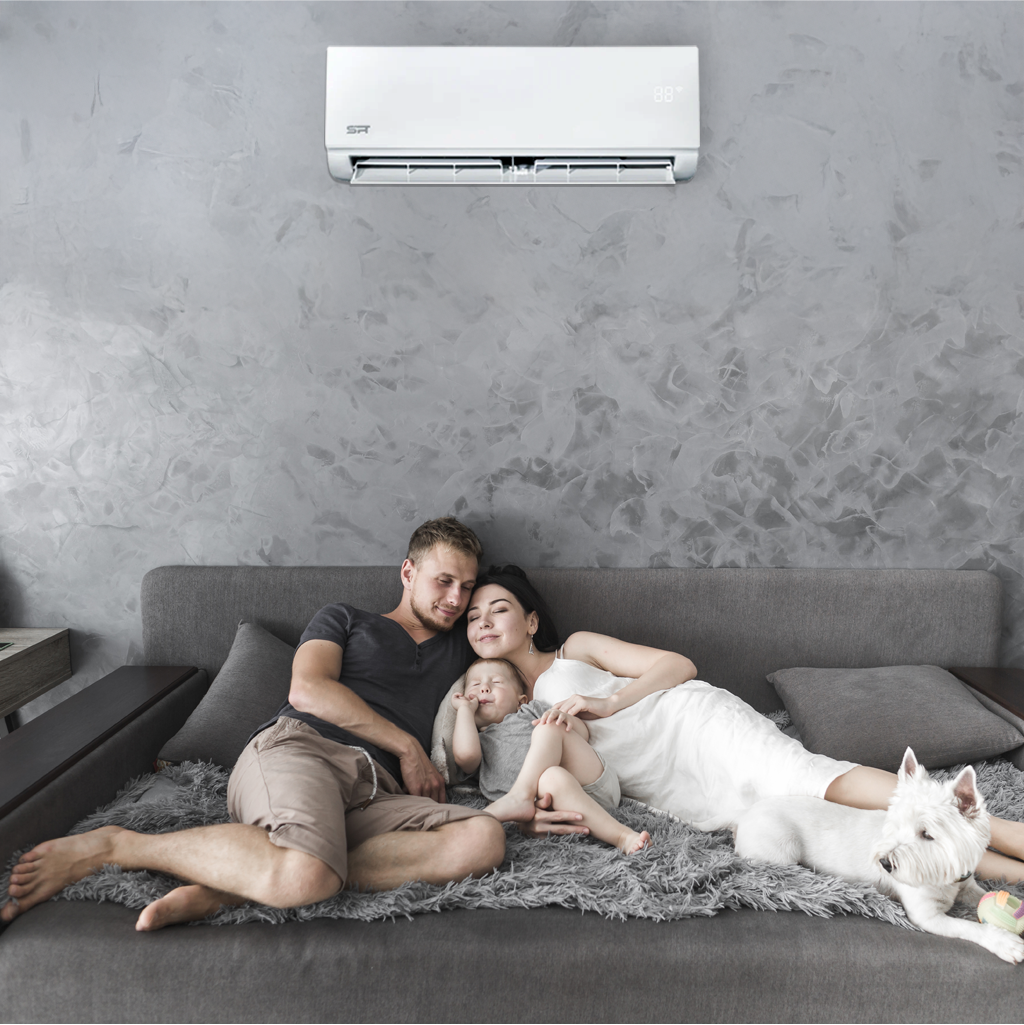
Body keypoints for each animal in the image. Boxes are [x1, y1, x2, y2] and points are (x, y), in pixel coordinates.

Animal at [733, 746, 1024, 959]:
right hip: (782, 849)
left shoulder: (966, 884)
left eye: (927, 835)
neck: (944, 876)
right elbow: (969, 927)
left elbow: (981, 895)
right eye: (895, 825)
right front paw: (1005, 942)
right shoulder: (927, 917)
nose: (884, 863)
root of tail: (743, 817)